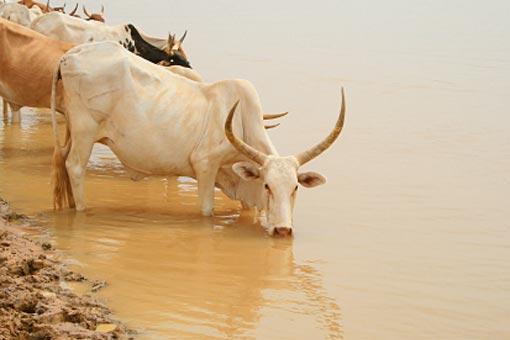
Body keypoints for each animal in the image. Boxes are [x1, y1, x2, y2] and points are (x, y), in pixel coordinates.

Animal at [50, 40, 346, 236]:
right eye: (267, 186)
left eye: (295, 187)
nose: (283, 230)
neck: (241, 122)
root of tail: (69, 55)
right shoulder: (205, 166)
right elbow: (207, 210)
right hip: (85, 131)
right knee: (75, 167)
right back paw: (82, 210)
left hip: (72, 131)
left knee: (61, 160)